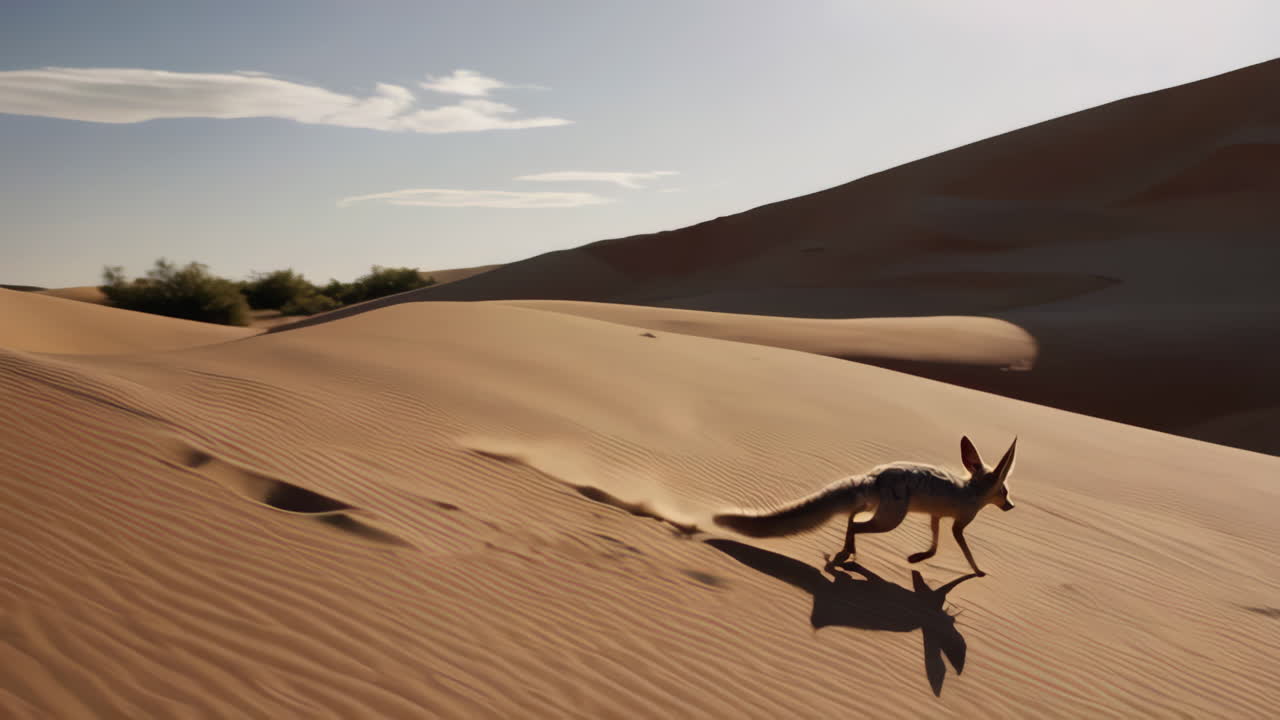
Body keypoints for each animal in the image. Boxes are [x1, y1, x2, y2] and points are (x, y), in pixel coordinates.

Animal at [713, 436, 1016, 576]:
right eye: (1004, 491)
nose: (1011, 506)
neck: (971, 490)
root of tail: (876, 474)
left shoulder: (936, 517)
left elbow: (934, 546)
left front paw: (918, 558)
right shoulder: (959, 523)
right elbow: (963, 549)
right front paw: (977, 571)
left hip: (879, 510)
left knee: (852, 517)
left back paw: (844, 552)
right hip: (891, 520)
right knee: (857, 525)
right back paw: (845, 555)